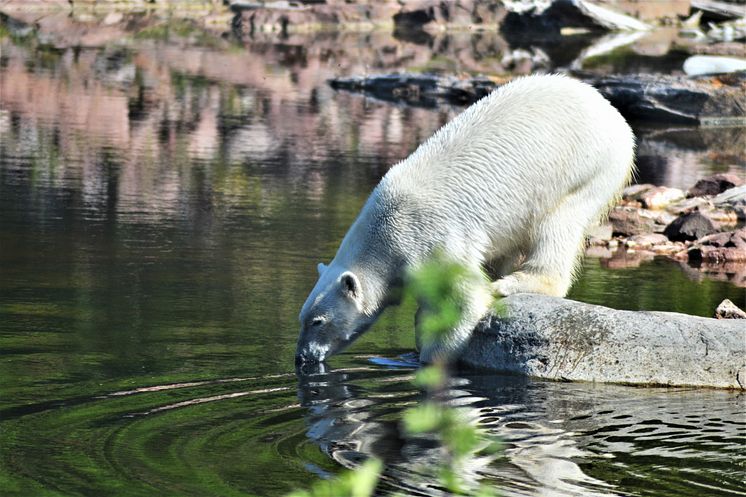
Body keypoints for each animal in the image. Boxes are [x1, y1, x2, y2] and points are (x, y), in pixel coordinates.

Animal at [294, 75, 632, 366]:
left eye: (317, 321)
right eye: (302, 319)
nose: (302, 358)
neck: (382, 231)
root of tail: (606, 106)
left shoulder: (425, 237)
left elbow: (462, 300)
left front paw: (431, 358)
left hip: (586, 166)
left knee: (559, 224)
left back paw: (513, 282)